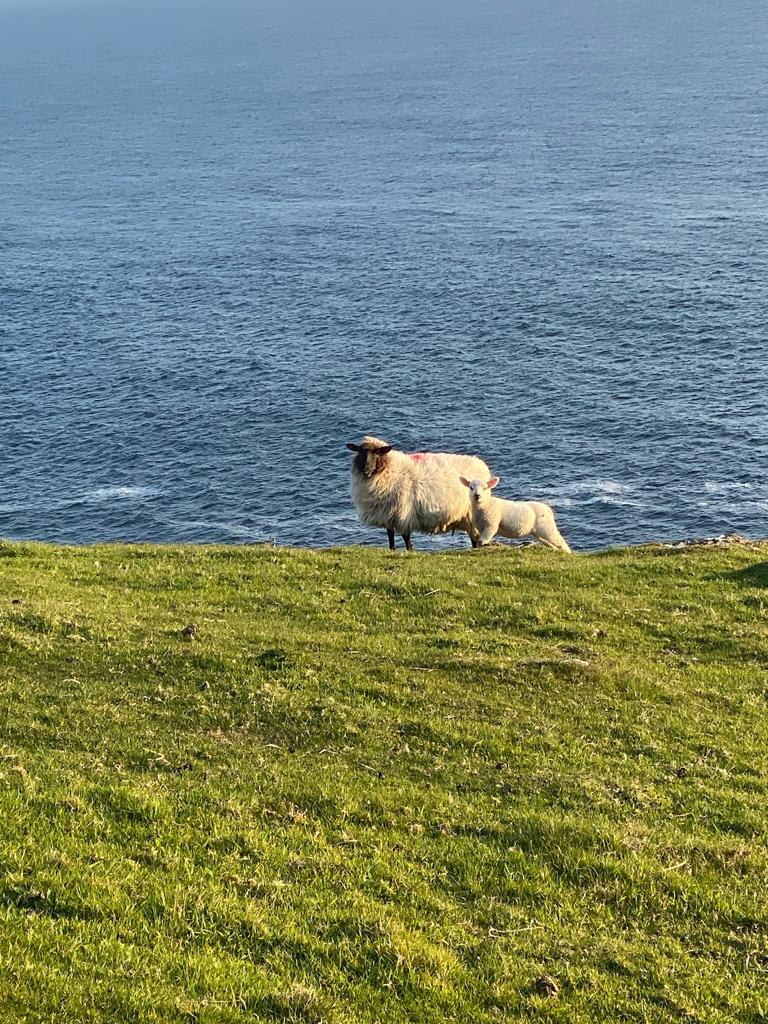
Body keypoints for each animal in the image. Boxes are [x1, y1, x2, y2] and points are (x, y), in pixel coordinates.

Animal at [344, 438, 489, 557]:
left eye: (377, 452)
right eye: (359, 452)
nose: (366, 470)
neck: (389, 470)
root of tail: (482, 466)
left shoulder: (403, 514)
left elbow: (405, 537)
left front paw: (409, 551)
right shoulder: (388, 515)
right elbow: (390, 536)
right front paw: (392, 550)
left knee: (475, 538)